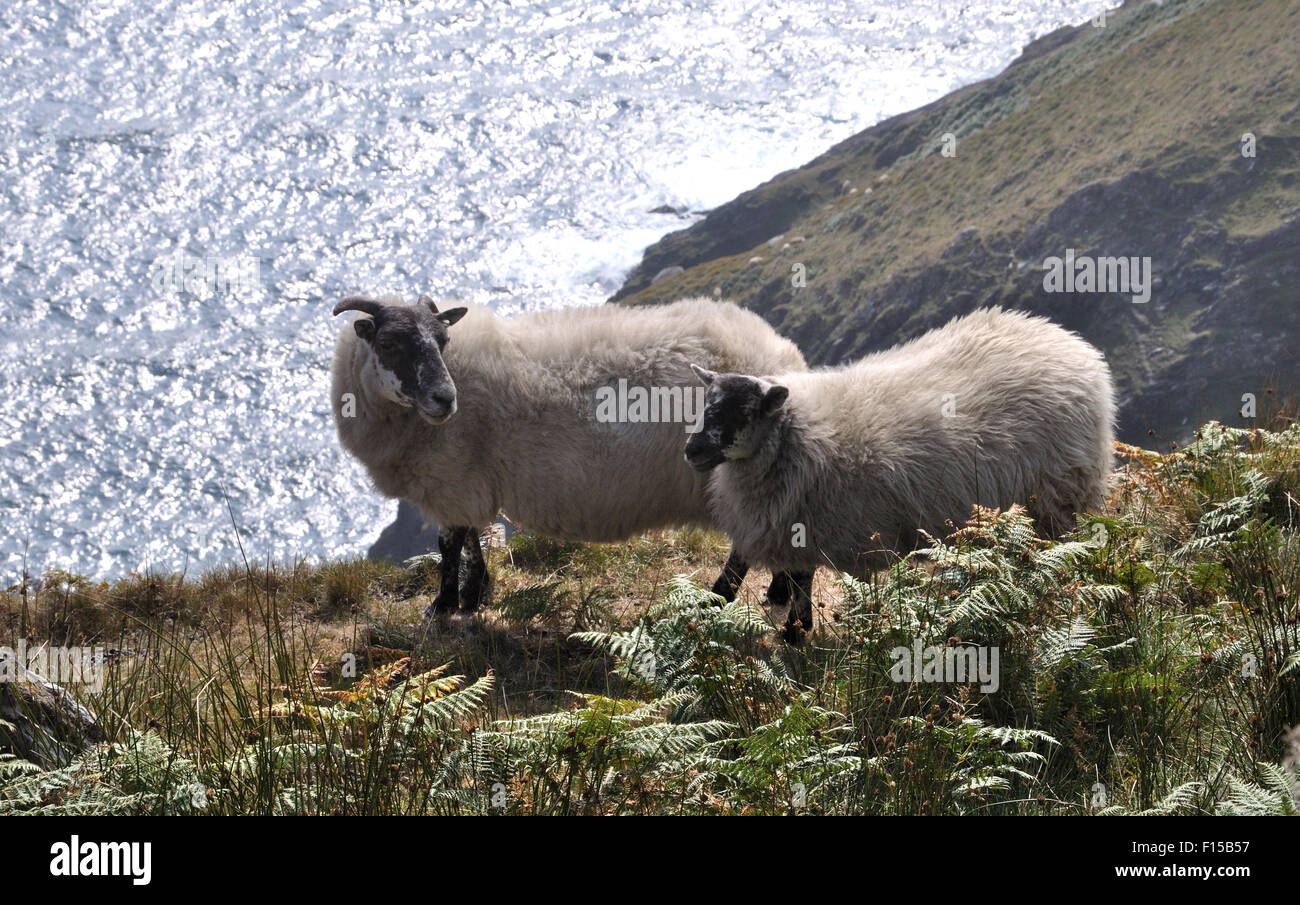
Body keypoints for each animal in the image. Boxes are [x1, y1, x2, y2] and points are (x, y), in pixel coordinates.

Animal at [330, 295, 806, 616]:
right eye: (388, 343)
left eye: (443, 340)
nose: (445, 399)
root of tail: (785, 356)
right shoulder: (467, 482)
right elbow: (471, 540)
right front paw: (474, 593)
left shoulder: (452, 480)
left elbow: (450, 545)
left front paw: (445, 604)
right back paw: (776, 592)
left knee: (746, 545)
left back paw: (719, 597)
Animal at [681, 308, 1118, 639]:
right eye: (706, 404)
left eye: (743, 411)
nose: (692, 451)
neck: (797, 433)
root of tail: (1071, 344)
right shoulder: (787, 521)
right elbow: (743, 575)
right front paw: (722, 609)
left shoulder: (812, 519)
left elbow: (797, 579)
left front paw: (794, 630)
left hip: (1061, 497)